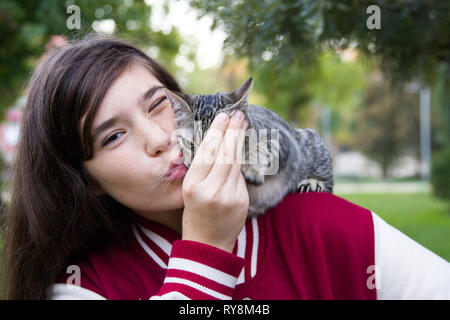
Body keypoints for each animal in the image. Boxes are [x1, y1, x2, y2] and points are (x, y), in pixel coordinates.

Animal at [166, 78, 334, 218]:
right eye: (191, 144)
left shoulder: (281, 137)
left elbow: (263, 148)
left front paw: (252, 167)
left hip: (311, 141)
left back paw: (313, 183)